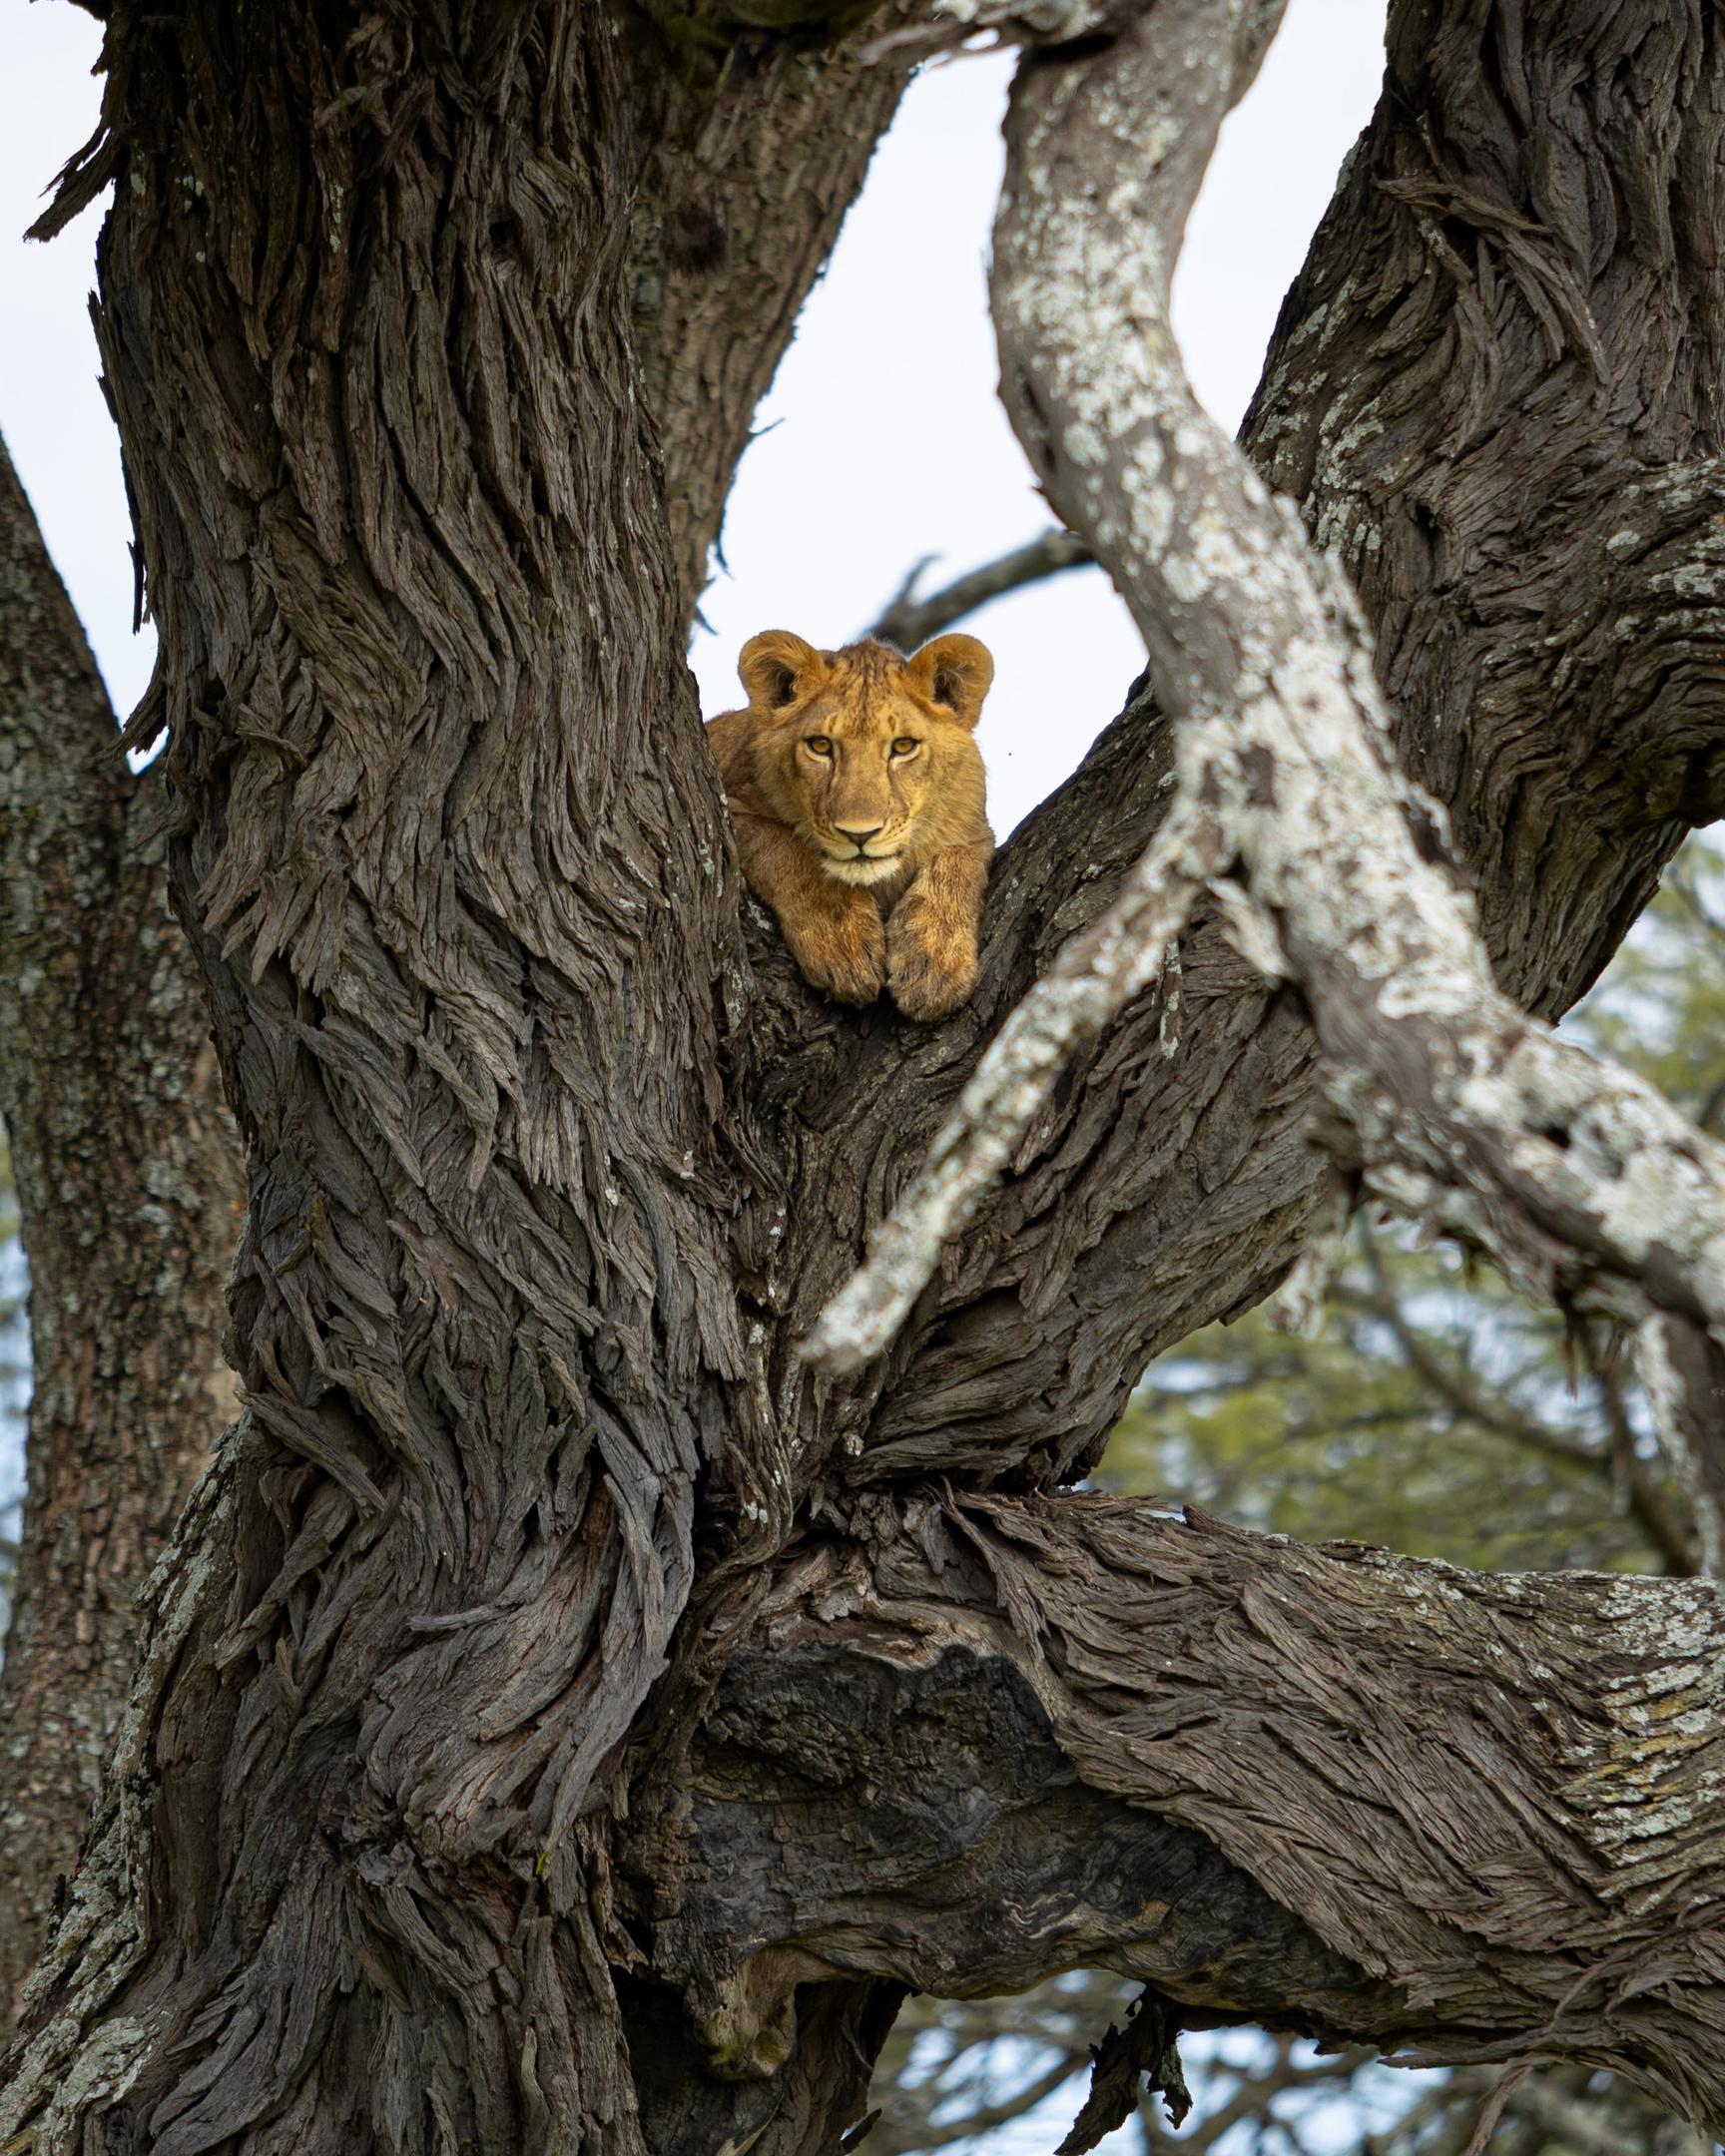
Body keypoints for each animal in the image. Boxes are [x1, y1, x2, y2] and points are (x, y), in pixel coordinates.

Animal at [707, 629, 995, 1020]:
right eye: (820, 745)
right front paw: (843, 944)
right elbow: (785, 850)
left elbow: (958, 863)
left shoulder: (976, 830)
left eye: (903, 746)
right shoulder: (732, 808)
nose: (860, 834)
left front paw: (933, 964)